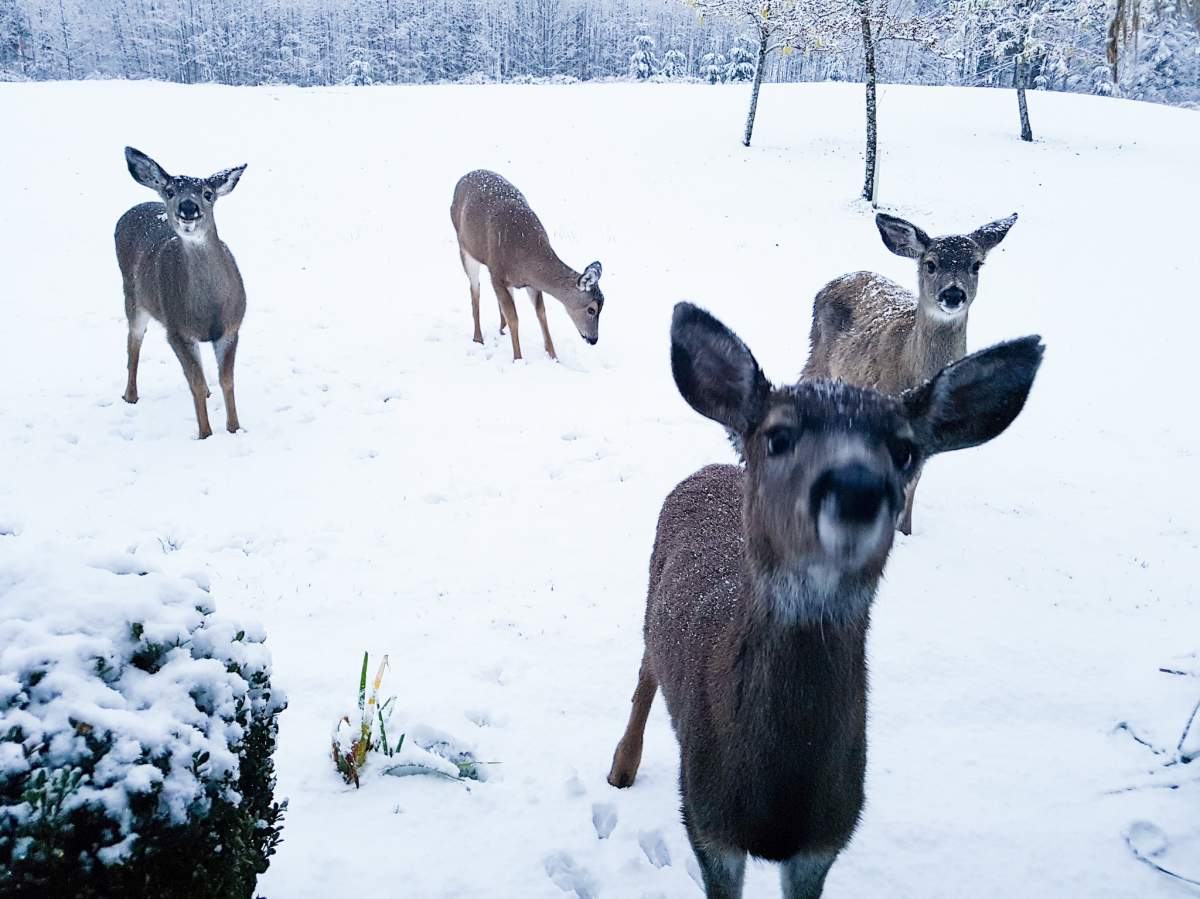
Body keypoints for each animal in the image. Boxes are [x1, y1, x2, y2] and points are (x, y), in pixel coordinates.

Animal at [115, 147, 247, 439]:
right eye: (170, 191)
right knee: (133, 343)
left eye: (208, 193)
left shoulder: (232, 327)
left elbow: (227, 381)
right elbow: (194, 383)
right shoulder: (176, 330)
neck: (209, 310)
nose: (188, 207)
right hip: (132, 296)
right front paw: (206, 434)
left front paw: (234, 428)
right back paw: (130, 395)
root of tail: (135, 208)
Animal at [450, 170, 604, 362]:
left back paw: (501, 330)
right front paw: (518, 359)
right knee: (475, 290)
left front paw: (554, 357)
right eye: (591, 309)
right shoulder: (497, 273)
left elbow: (541, 314)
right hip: (465, 248)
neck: (524, 257)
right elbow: (514, 318)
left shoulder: (530, 283)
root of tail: (463, 177)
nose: (594, 339)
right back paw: (478, 338)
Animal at [607, 303, 1043, 899]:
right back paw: (621, 769)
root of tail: (713, 470)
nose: (857, 488)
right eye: (778, 436)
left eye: (905, 450)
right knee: (645, 674)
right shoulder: (708, 823)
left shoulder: (827, 838)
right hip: (651, 607)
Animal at [803, 212, 1018, 534]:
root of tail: (836, 280)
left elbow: (913, 481)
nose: (953, 293)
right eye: (930, 263)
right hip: (818, 356)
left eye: (976, 265)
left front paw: (904, 530)